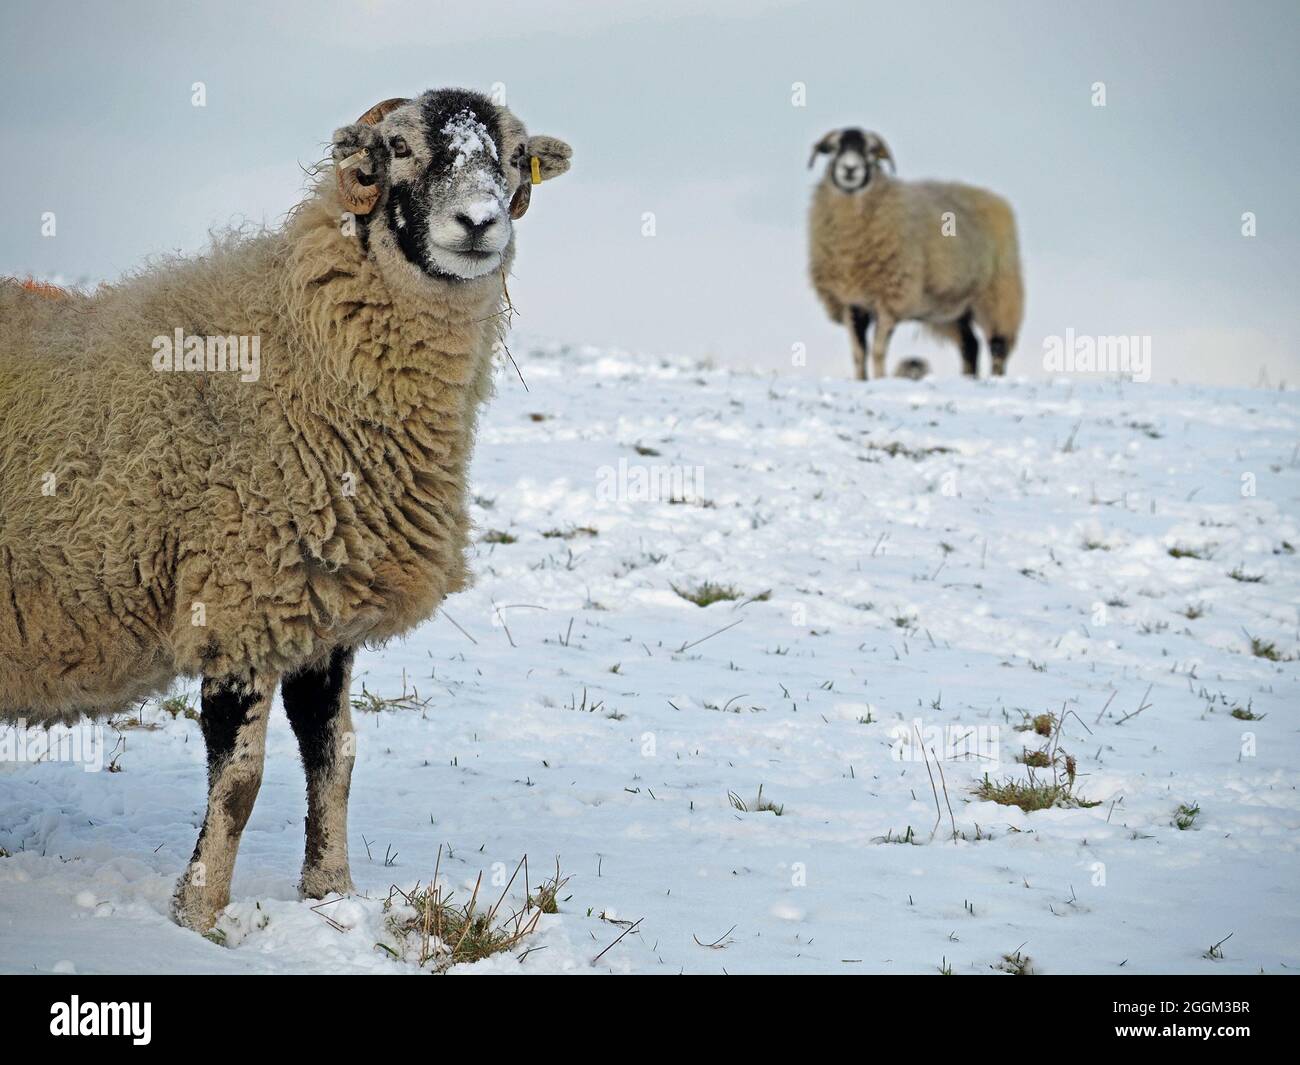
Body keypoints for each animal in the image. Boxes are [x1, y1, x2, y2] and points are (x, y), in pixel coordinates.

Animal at [0, 87, 569, 931]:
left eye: (514, 154)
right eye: (400, 147)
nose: (478, 222)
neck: (300, 346)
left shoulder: (319, 610)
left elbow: (335, 757)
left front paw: (330, 893)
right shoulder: (239, 601)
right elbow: (240, 780)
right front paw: (199, 914)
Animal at [800, 129, 1024, 382]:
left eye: (870, 150)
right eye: (834, 148)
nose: (849, 168)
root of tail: (996, 199)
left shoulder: (890, 300)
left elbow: (878, 350)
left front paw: (880, 380)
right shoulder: (851, 302)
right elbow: (858, 352)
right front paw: (861, 380)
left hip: (998, 294)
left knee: (998, 346)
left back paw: (996, 378)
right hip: (953, 310)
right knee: (970, 345)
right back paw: (968, 379)